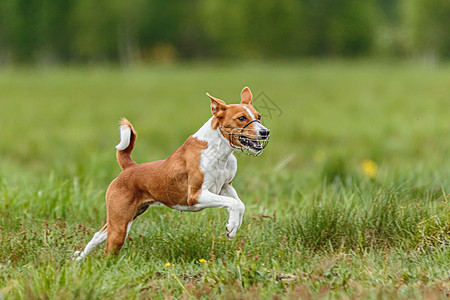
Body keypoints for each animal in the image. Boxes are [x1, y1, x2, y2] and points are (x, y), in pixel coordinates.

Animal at [74, 86, 268, 260]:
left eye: (258, 116)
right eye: (241, 118)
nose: (265, 132)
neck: (219, 151)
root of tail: (129, 167)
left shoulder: (224, 186)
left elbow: (239, 204)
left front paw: (233, 225)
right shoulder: (196, 195)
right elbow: (233, 204)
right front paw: (232, 226)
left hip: (125, 216)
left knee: (98, 236)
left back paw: (78, 259)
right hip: (120, 225)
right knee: (108, 252)